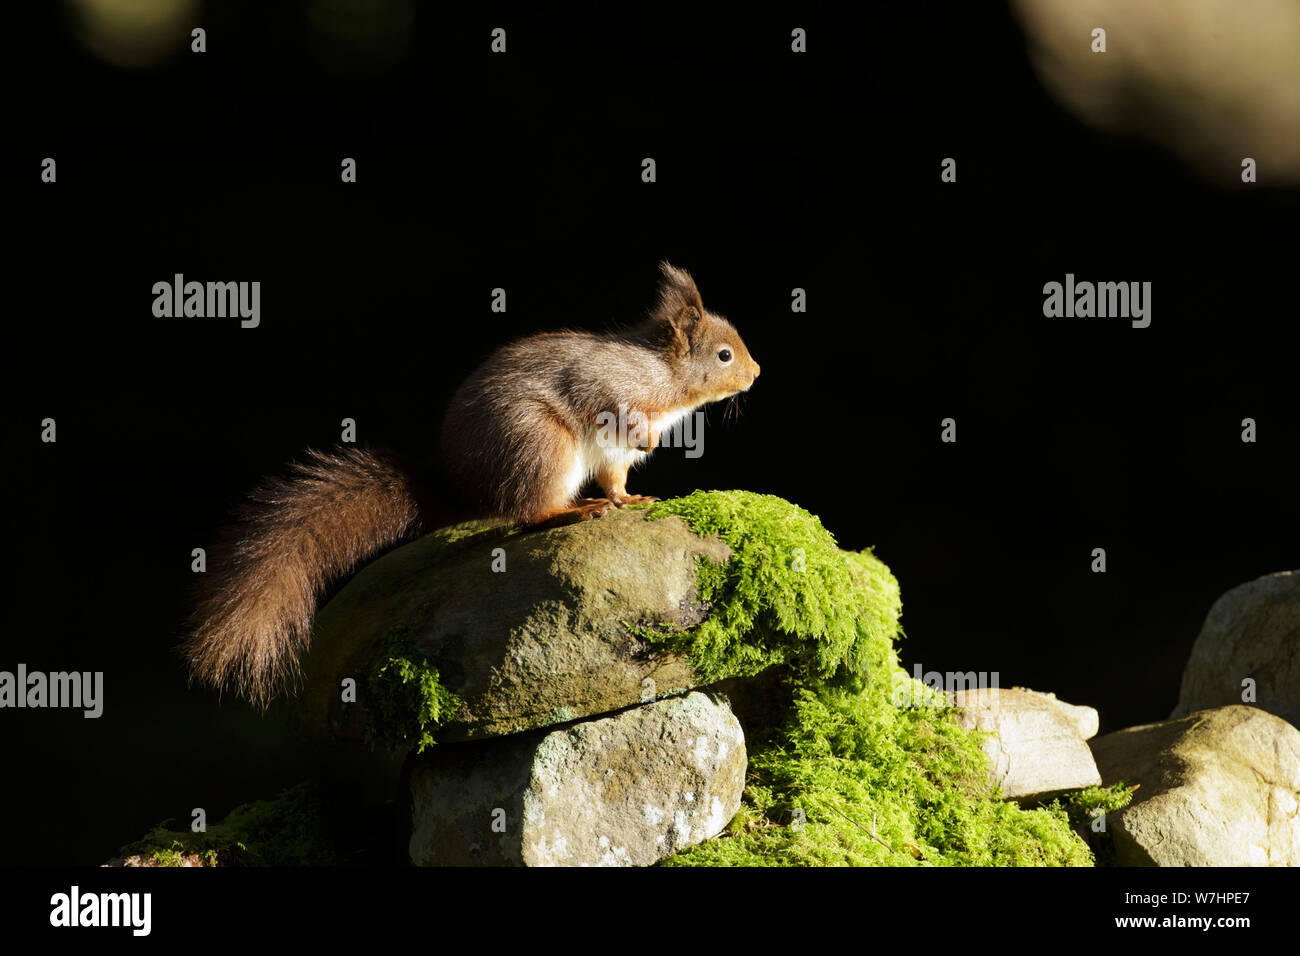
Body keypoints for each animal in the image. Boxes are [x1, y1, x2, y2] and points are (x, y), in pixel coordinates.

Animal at [185, 260, 759, 702]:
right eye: (724, 355)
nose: (756, 374)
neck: (665, 378)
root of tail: (464, 485)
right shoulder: (608, 388)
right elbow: (611, 407)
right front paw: (643, 446)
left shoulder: (611, 456)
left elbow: (616, 478)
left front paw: (632, 495)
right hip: (540, 447)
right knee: (529, 513)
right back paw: (573, 510)